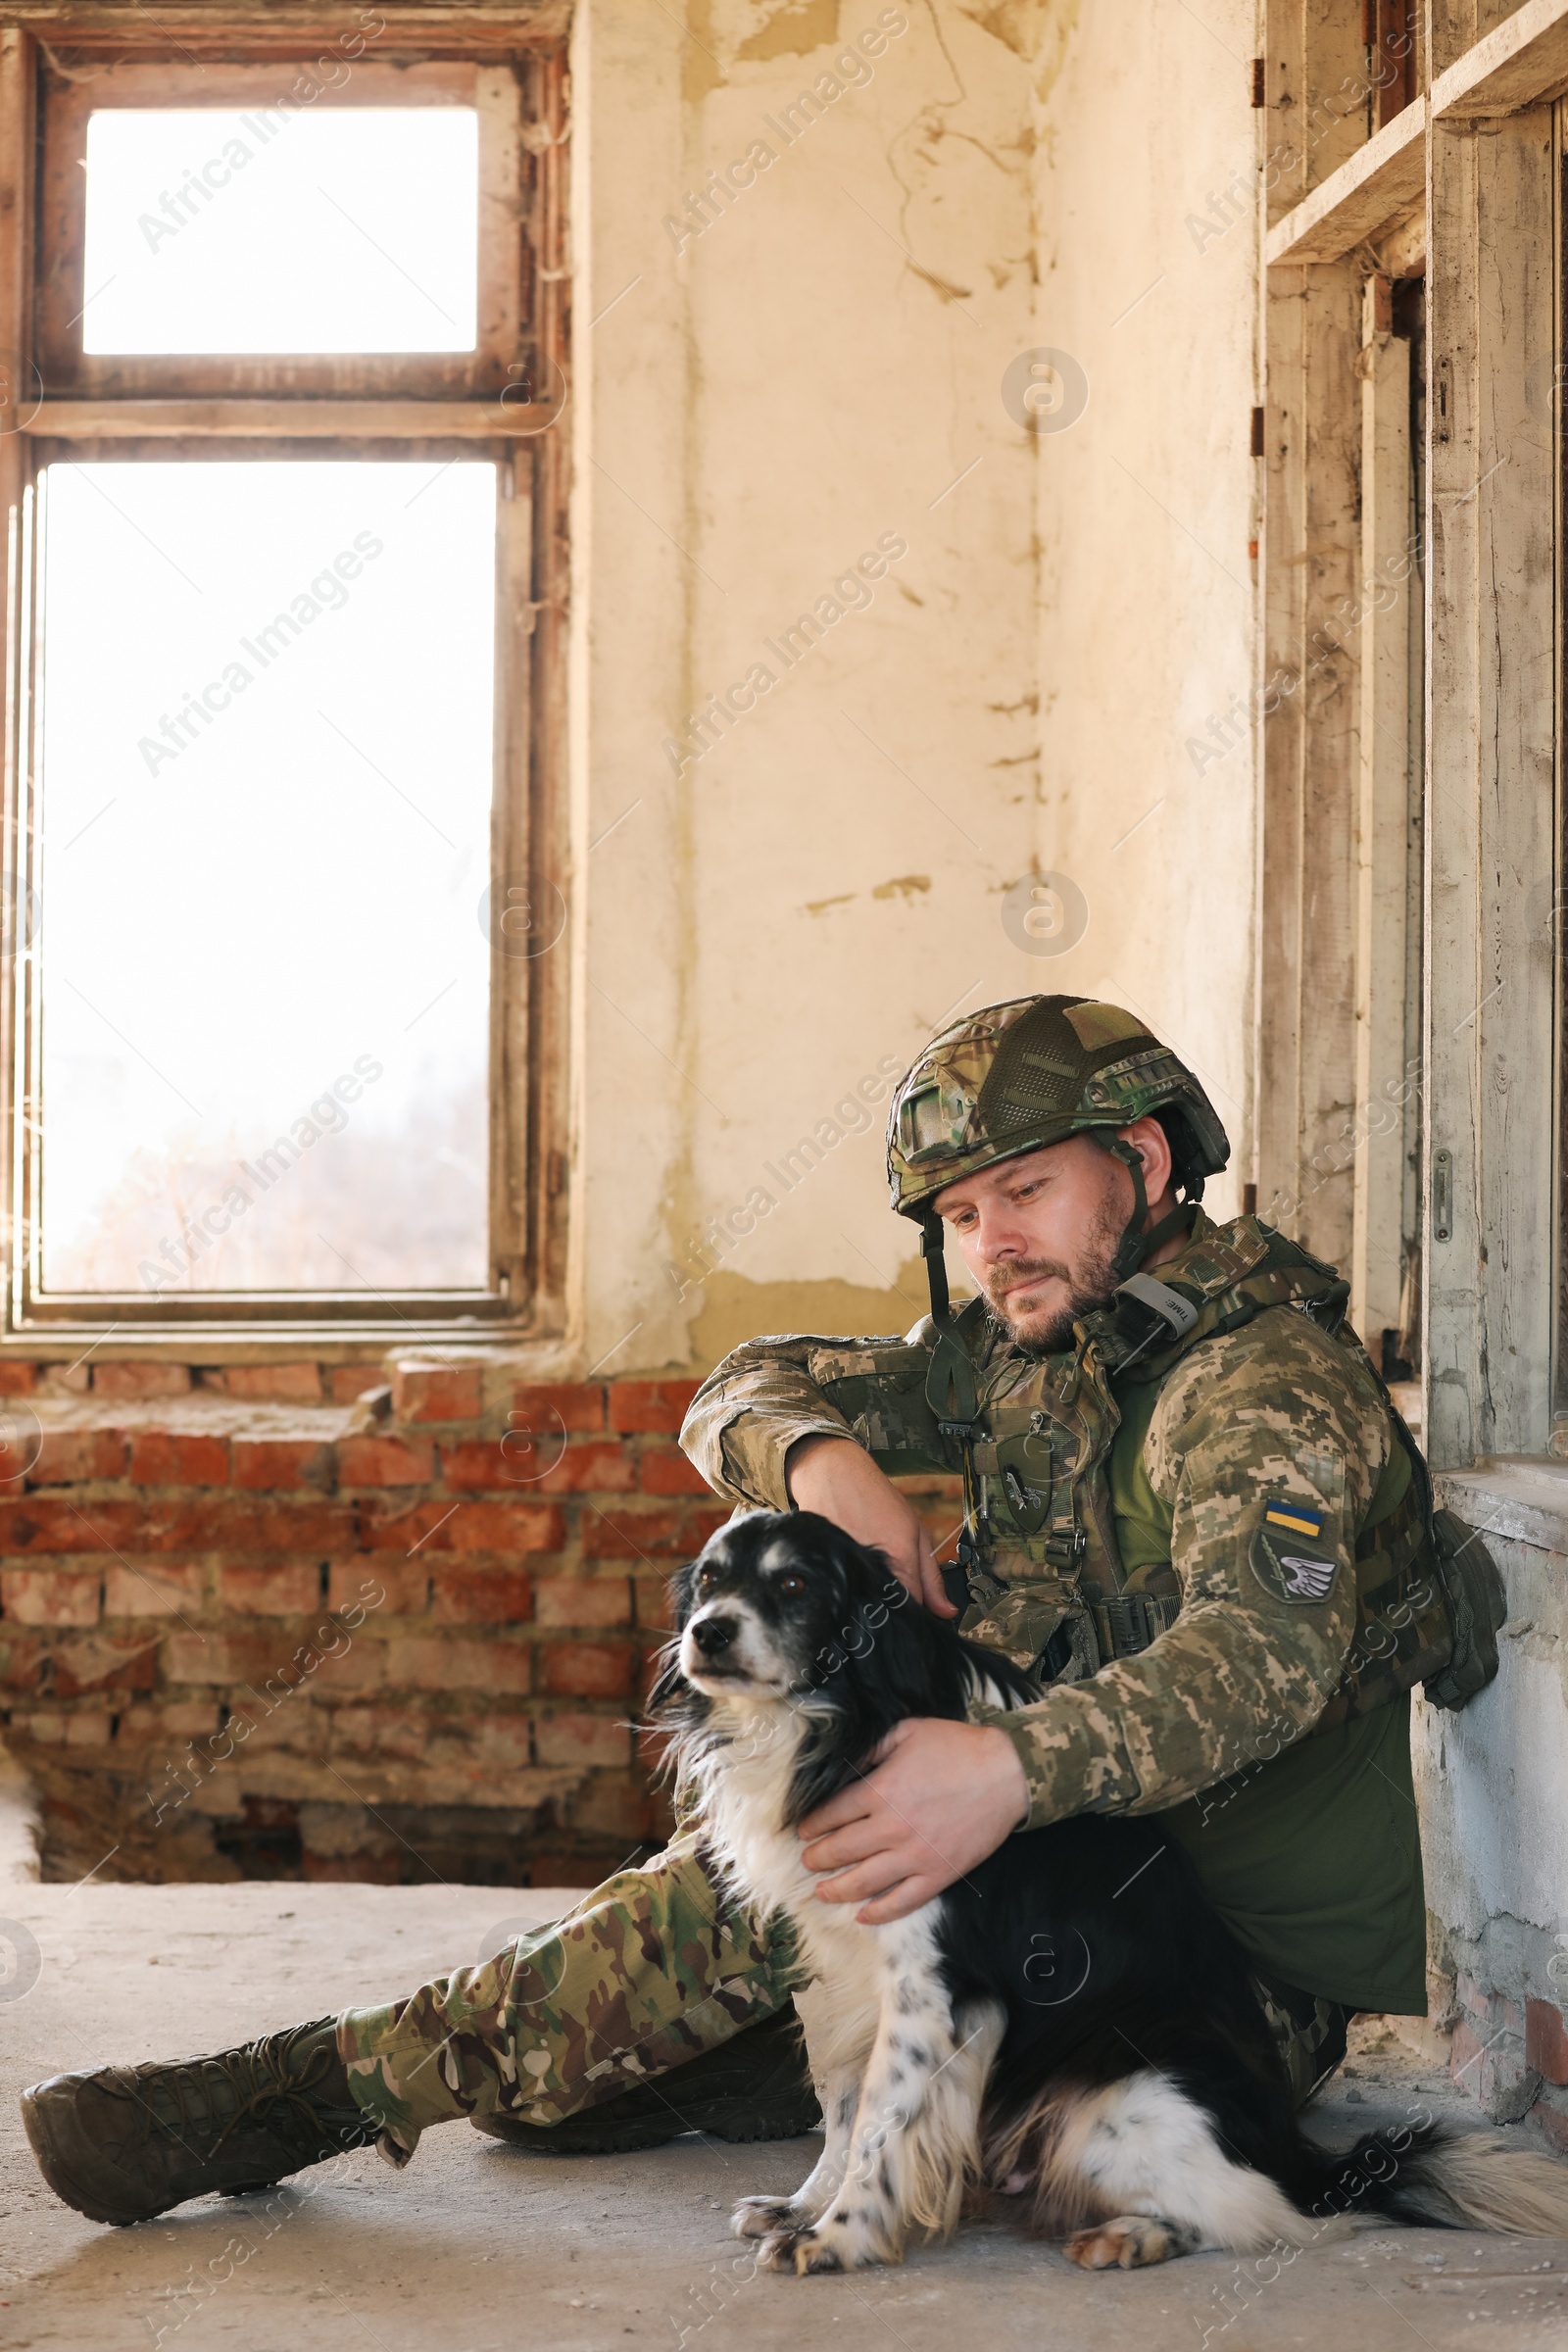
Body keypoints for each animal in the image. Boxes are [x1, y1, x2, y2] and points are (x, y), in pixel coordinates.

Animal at [649, 1514, 1568, 2267]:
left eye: (795, 1586)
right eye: (708, 1580)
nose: (708, 1633)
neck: (839, 1718)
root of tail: (1306, 2160)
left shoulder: (934, 1988)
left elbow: (881, 2120)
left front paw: (838, 2239)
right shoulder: (842, 1966)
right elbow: (843, 2110)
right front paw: (802, 2209)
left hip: (1130, 2096)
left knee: (1260, 2217)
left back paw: (1136, 2235)